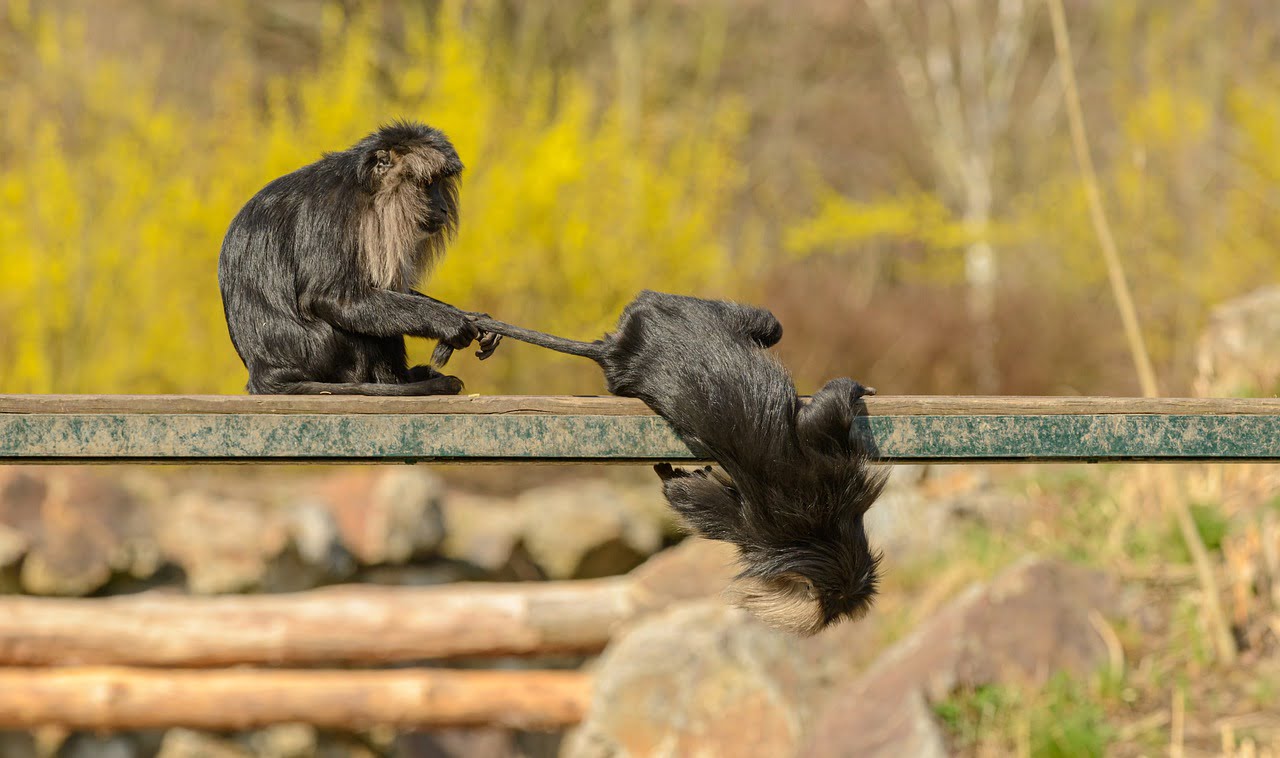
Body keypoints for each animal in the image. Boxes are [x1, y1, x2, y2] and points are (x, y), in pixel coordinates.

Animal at [218, 120, 501, 396]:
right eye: (428, 183)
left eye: (441, 182)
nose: (443, 207)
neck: (366, 190)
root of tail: (264, 374)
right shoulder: (333, 212)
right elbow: (332, 299)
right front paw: (446, 321)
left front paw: (472, 317)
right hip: (324, 351)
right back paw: (397, 382)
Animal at [434, 290, 887, 635]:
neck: (820, 537)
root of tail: (616, 349)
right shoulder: (819, 483)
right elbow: (820, 417)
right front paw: (854, 388)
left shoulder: (760, 524)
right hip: (675, 310)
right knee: (765, 324)